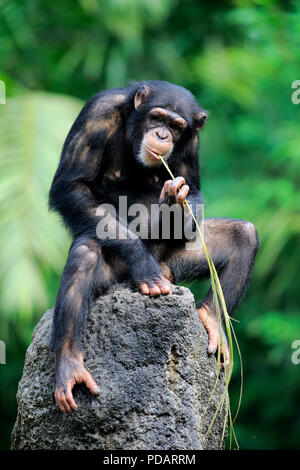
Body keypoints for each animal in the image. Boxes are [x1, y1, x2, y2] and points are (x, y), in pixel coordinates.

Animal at [48, 81, 258, 412]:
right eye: (157, 118)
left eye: (176, 126)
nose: (162, 135)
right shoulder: (97, 112)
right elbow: (73, 185)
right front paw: (141, 260)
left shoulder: (193, 140)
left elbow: (193, 188)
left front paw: (176, 202)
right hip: (116, 271)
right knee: (85, 253)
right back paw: (70, 365)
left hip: (177, 262)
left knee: (244, 235)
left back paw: (212, 320)